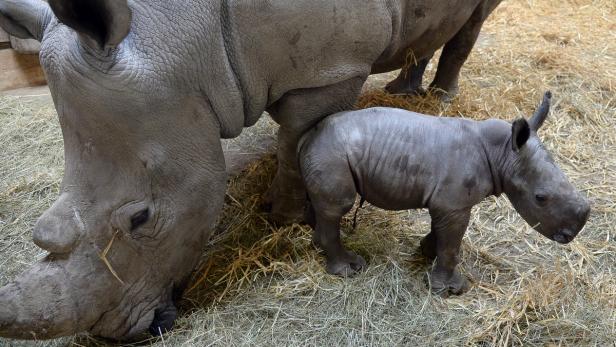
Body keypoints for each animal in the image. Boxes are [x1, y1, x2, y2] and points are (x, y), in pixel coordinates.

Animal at [300, 93, 588, 296]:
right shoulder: (453, 205)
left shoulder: (446, 203)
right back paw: (349, 269)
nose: (570, 235)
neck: (504, 152)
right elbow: (452, 243)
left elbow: (441, 233)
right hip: (331, 154)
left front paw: (427, 253)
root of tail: (307, 137)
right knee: (340, 206)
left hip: (328, 153)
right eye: (541, 198)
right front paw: (451, 289)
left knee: (325, 208)